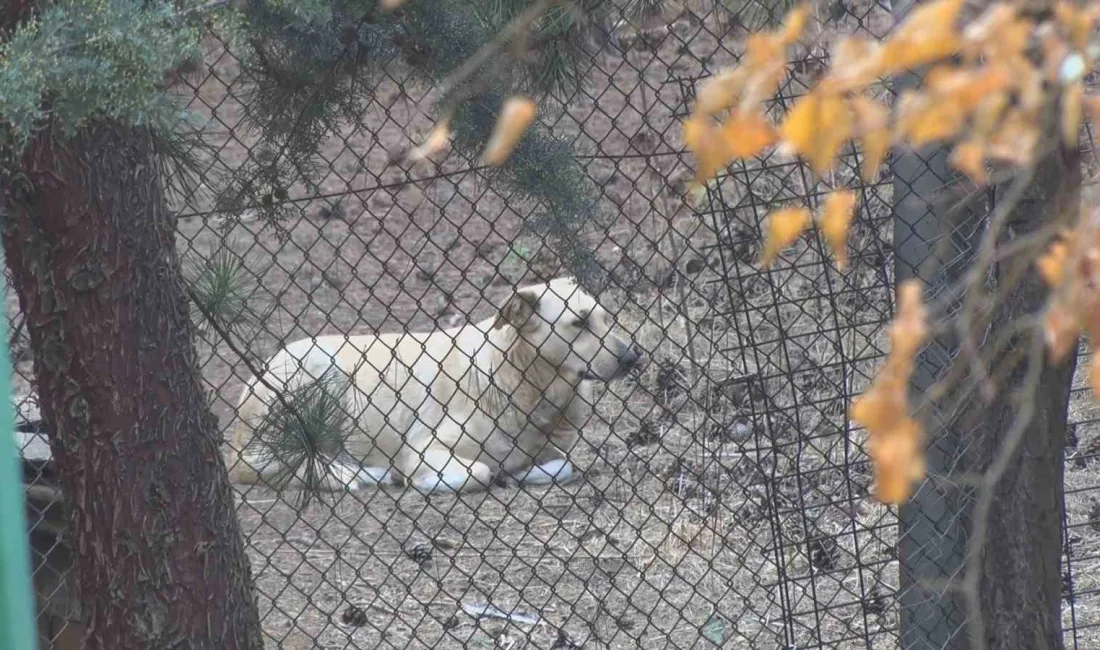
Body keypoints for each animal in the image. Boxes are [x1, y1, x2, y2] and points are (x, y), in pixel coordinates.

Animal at [223, 277, 642, 494]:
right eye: (579, 323)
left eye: (605, 317)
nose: (633, 357)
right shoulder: (425, 448)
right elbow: (480, 471)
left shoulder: (553, 450)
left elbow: (561, 465)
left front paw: (519, 472)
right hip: (320, 372)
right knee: (285, 465)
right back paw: (360, 475)